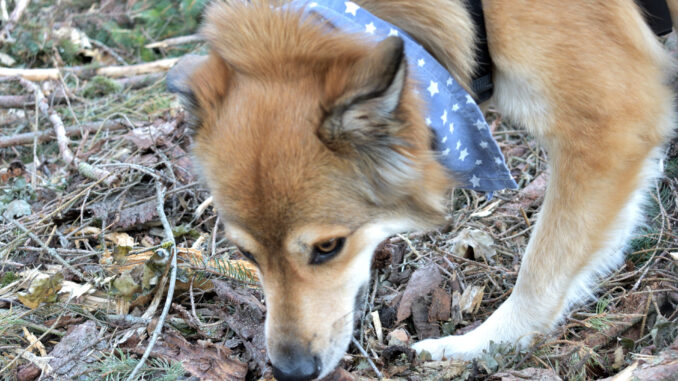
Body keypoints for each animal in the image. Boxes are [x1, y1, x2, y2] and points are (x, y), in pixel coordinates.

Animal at [166, 1, 678, 378]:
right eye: (246, 254)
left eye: (328, 247)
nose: (291, 372)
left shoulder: (609, 130)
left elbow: (543, 267)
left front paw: (483, 345)